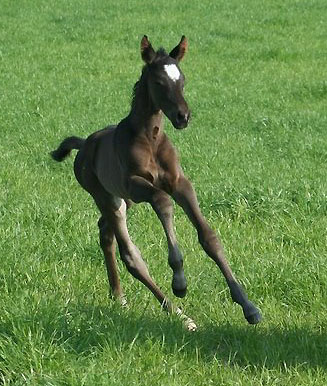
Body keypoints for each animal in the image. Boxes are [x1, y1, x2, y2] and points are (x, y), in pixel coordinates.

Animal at [50, 36, 262, 330]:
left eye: (182, 80)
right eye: (159, 82)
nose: (183, 116)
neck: (150, 138)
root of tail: (84, 145)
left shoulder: (180, 183)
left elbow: (208, 237)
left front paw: (248, 307)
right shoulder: (136, 185)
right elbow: (162, 201)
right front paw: (180, 281)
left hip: (122, 200)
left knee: (105, 233)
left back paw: (119, 296)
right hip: (107, 197)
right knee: (131, 255)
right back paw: (180, 314)